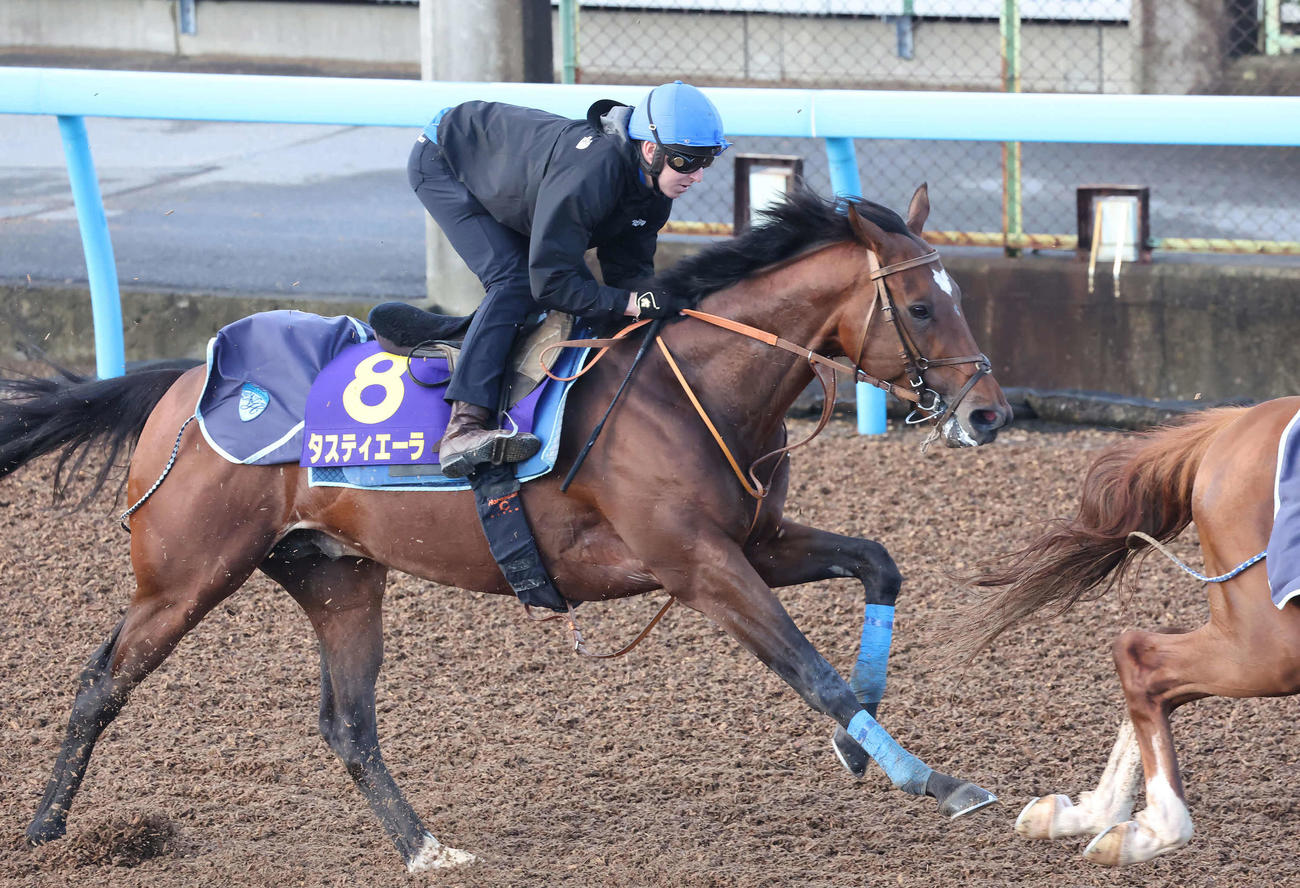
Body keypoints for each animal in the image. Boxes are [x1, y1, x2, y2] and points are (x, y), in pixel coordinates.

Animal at [0, 184, 1012, 872]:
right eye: (923, 306)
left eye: (963, 299)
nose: (991, 414)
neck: (691, 386)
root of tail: (184, 379)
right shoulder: (695, 564)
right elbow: (811, 670)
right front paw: (933, 779)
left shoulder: (754, 542)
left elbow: (879, 566)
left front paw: (862, 743)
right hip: (186, 573)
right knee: (102, 681)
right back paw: (49, 831)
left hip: (337, 574)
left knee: (347, 721)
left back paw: (425, 848)